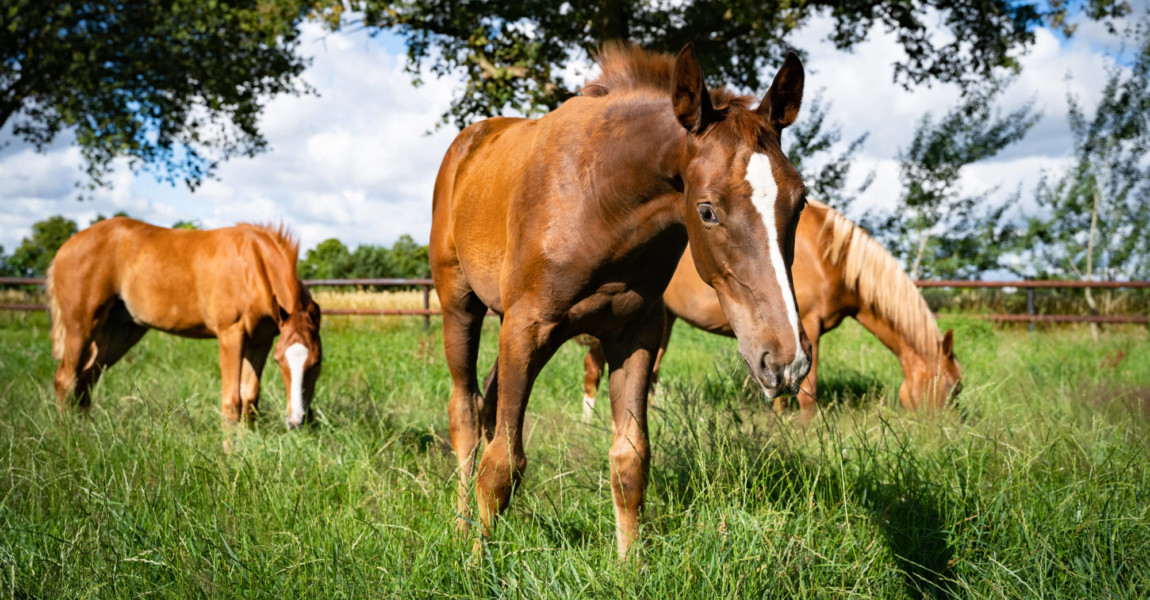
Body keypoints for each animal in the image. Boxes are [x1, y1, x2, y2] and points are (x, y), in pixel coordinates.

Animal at [47, 217, 322, 427]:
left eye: (317, 362)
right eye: (280, 361)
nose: (296, 421)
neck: (252, 266)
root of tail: (65, 247)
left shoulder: (260, 340)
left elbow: (249, 398)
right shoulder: (231, 334)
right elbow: (231, 401)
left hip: (119, 333)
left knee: (85, 380)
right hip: (81, 327)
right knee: (65, 379)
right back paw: (66, 434)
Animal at [432, 41, 818, 556]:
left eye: (800, 201)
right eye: (707, 211)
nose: (785, 360)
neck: (599, 200)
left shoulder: (636, 334)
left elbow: (630, 461)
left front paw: (628, 563)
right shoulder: (526, 328)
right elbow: (501, 466)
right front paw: (477, 562)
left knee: (488, 403)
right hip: (460, 305)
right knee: (466, 415)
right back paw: (459, 528)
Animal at [579, 198, 966, 418]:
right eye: (953, 388)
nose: (946, 433)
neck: (828, 254)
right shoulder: (807, 327)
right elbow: (808, 393)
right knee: (593, 369)